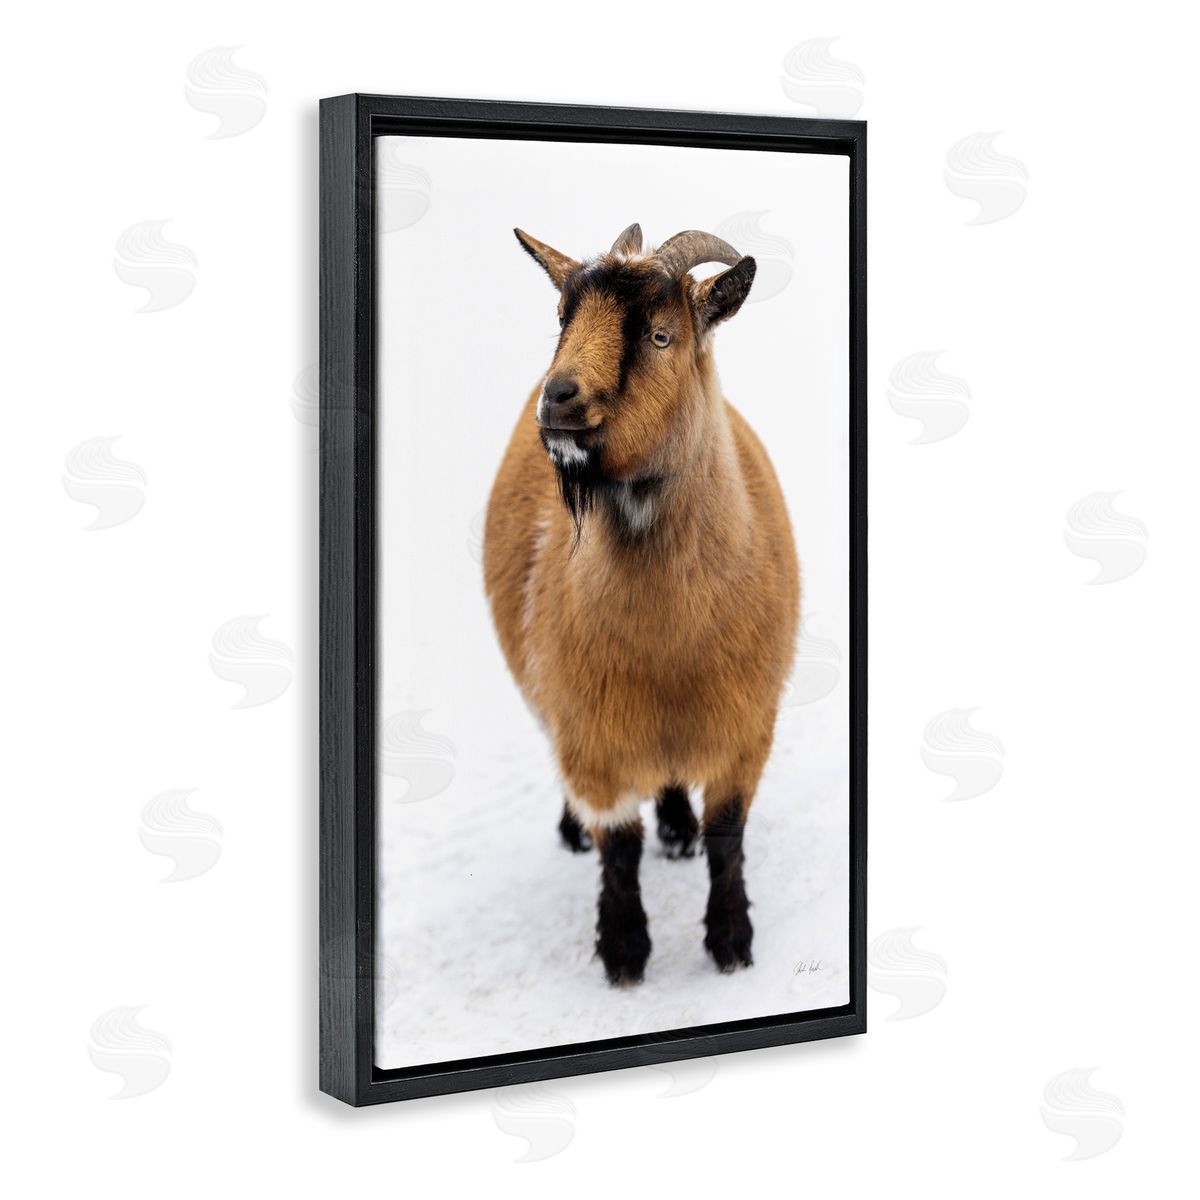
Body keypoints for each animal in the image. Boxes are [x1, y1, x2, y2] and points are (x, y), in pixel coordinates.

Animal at [483, 223, 799, 984]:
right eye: (562, 318)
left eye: (660, 335)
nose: (558, 399)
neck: (669, 647)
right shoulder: (592, 732)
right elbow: (619, 846)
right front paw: (624, 951)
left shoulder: (747, 726)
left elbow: (727, 836)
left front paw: (732, 942)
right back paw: (574, 832)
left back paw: (678, 828)